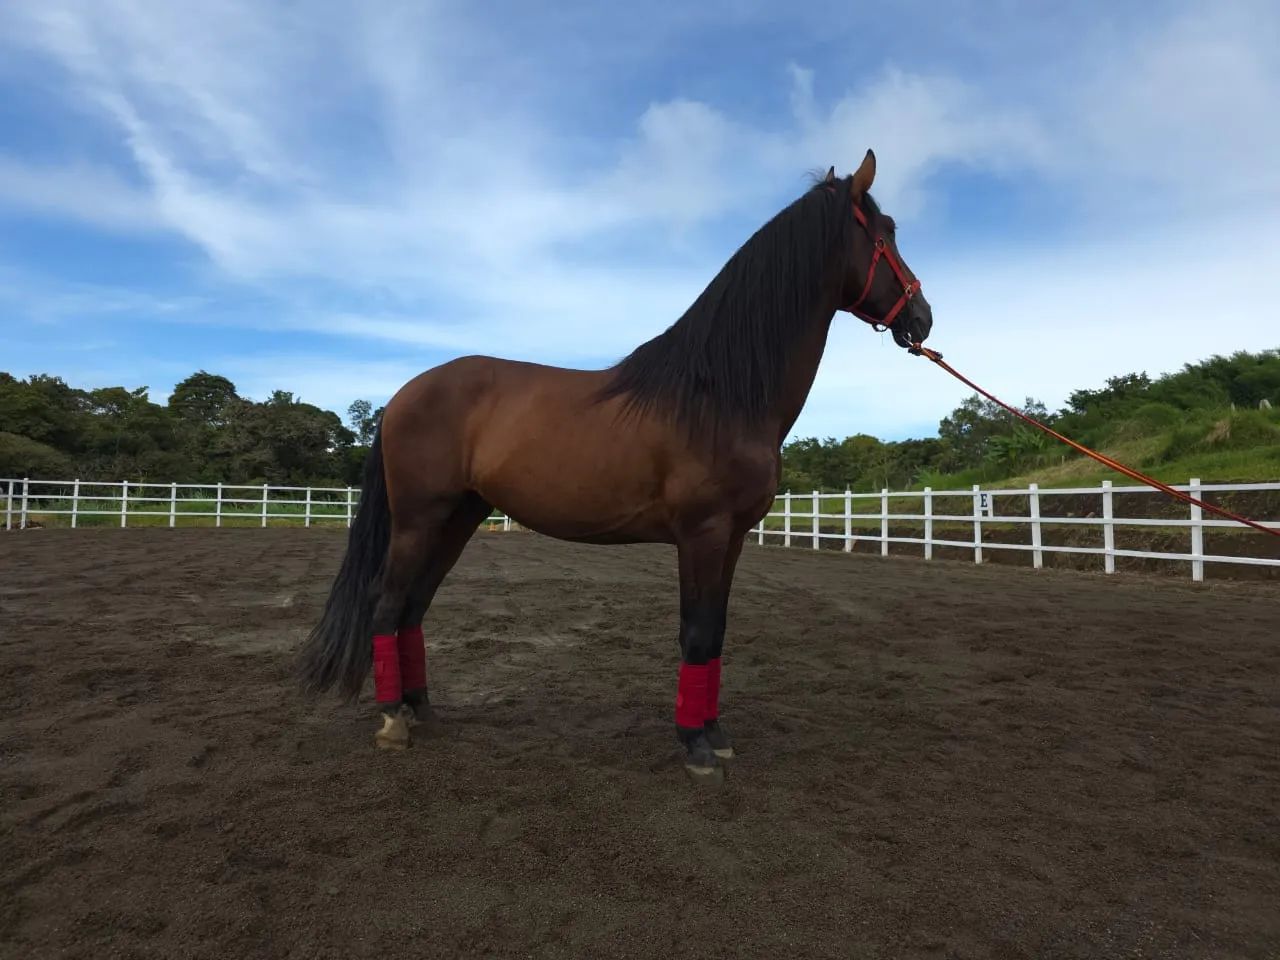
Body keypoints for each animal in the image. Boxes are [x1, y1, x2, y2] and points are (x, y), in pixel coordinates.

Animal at [295, 149, 933, 783]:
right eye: (886, 234)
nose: (923, 318)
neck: (718, 396)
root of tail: (404, 395)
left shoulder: (731, 538)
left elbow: (717, 634)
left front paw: (717, 735)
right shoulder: (702, 534)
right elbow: (697, 633)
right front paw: (696, 747)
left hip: (458, 519)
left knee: (413, 608)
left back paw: (420, 710)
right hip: (419, 519)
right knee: (386, 605)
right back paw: (392, 721)